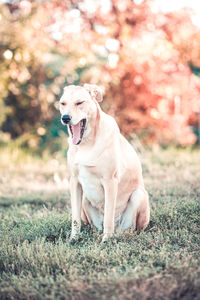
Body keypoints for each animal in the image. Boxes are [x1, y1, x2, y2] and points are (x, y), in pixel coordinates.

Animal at [59, 84, 150, 241]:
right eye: (63, 103)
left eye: (79, 102)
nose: (65, 118)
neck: (86, 144)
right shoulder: (75, 181)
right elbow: (75, 218)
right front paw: (73, 238)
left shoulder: (110, 181)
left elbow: (108, 215)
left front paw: (107, 239)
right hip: (85, 199)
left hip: (138, 195)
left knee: (130, 228)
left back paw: (118, 234)